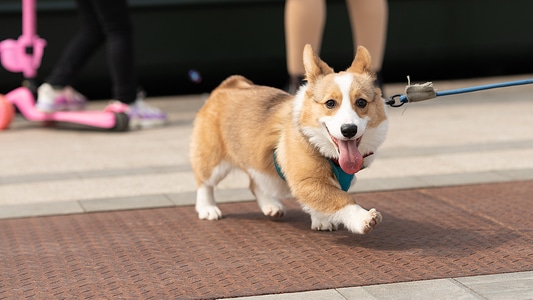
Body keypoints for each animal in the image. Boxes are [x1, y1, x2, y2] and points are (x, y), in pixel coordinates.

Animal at [190, 44, 386, 233]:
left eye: (361, 102)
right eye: (330, 103)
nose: (349, 130)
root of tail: (228, 85)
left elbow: (322, 204)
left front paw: (321, 220)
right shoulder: (308, 181)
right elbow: (341, 199)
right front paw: (363, 219)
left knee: (256, 183)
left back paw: (270, 205)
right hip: (214, 161)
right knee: (204, 182)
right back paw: (207, 208)